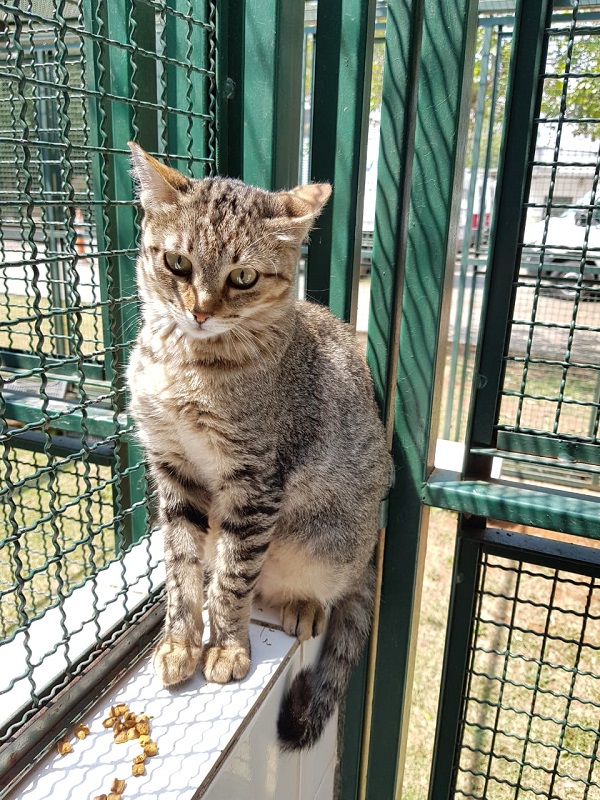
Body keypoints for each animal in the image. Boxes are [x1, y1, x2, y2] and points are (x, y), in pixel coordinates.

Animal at [127, 144, 390, 752]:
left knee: (313, 586)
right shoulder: (173, 470)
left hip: (330, 545)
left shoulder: (255, 480)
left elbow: (232, 576)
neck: (187, 364)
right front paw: (179, 643)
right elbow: (180, 565)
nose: (200, 310)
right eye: (177, 264)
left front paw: (225, 647)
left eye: (243, 276)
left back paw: (300, 606)